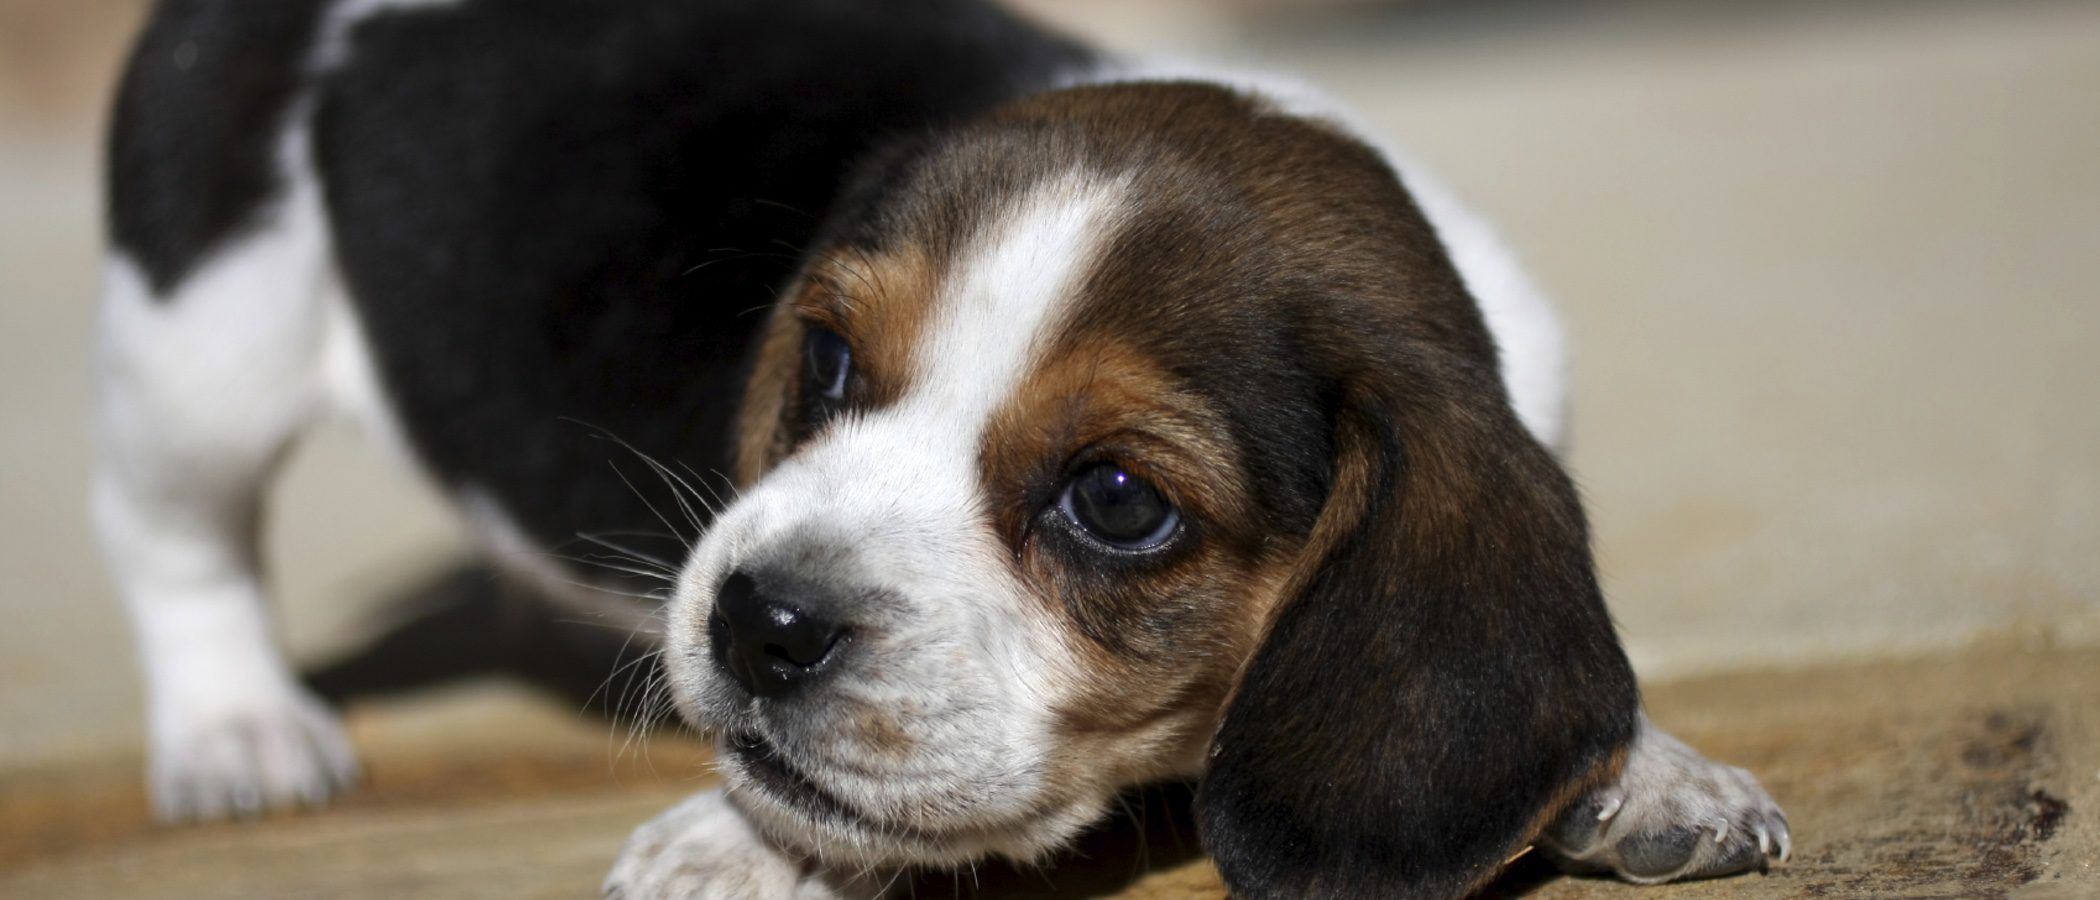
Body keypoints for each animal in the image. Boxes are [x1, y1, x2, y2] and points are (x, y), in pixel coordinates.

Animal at [90, 0, 1780, 889]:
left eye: (1118, 501)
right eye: (829, 358)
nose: (757, 624)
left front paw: (1656, 772)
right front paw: (736, 844)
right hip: (203, 346)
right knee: (173, 539)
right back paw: (238, 728)